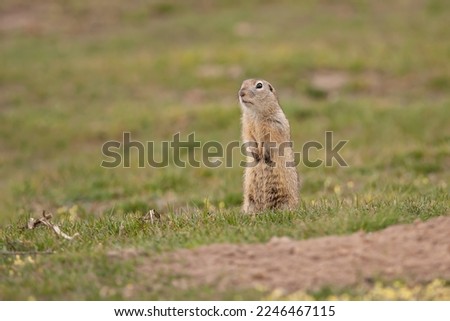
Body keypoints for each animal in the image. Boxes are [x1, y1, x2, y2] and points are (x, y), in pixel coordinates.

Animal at [239, 78, 298, 212]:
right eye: (242, 84)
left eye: (259, 85)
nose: (241, 93)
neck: (256, 114)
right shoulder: (246, 125)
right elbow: (249, 139)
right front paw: (256, 156)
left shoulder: (274, 125)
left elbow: (271, 141)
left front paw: (265, 157)